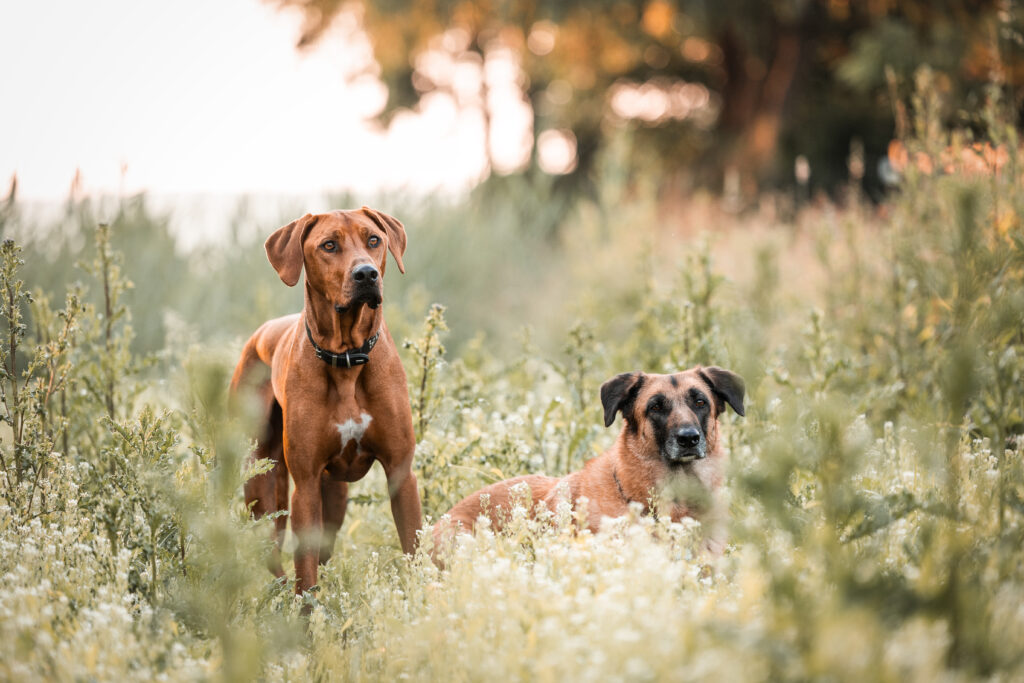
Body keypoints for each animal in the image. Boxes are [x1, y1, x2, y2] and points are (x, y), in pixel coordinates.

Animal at [231, 206, 419, 593]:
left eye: (374, 240)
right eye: (329, 245)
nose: (366, 273)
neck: (346, 357)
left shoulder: (401, 472)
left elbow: (414, 546)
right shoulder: (304, 485)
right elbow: (305, 570)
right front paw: (307, 609)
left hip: (333, 496)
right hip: (262, 485)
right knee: (274, 555)